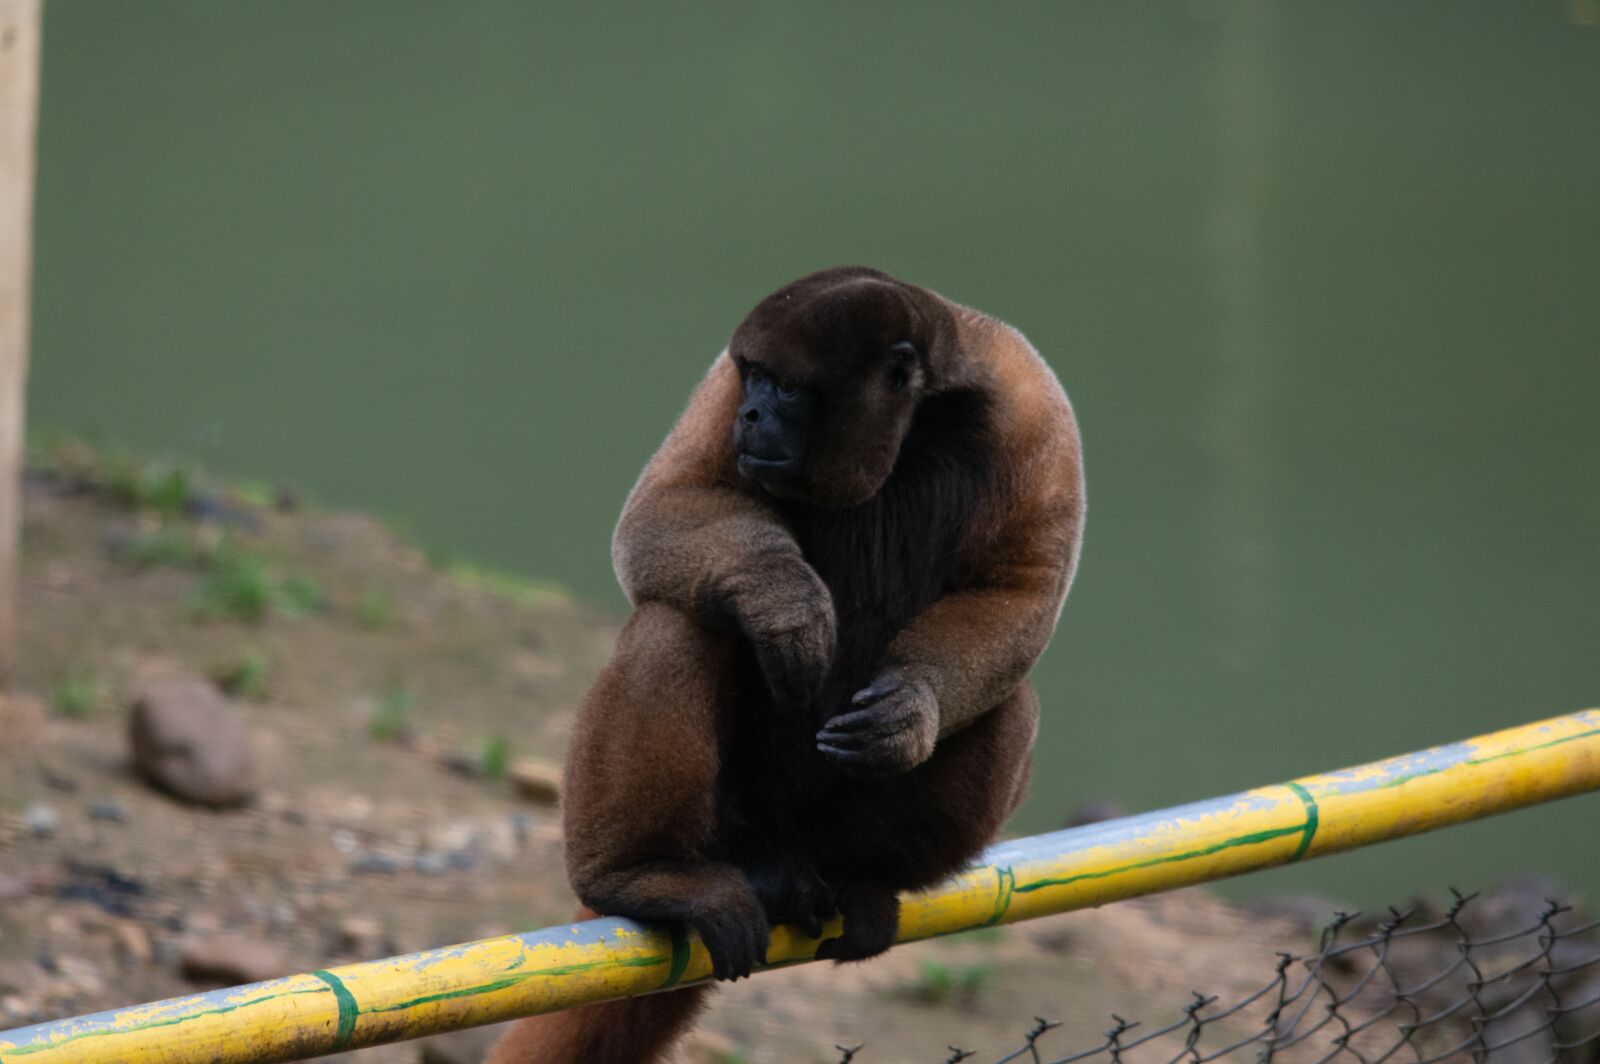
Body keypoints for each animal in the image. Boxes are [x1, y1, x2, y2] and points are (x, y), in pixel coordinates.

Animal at [487, 266, 1084, 1064]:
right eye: (755, 378)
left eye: (789, 390)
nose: (751, 415)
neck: (918, 418)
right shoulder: (722, 379)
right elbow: (663, 506)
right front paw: (783, 598)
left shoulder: (1032, 405)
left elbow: (1020, 589)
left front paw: (910, 713)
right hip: (730, 826)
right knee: (679, 623)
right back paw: (639, 876)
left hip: (824, 828)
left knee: (1009, 704)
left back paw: (863, 880)